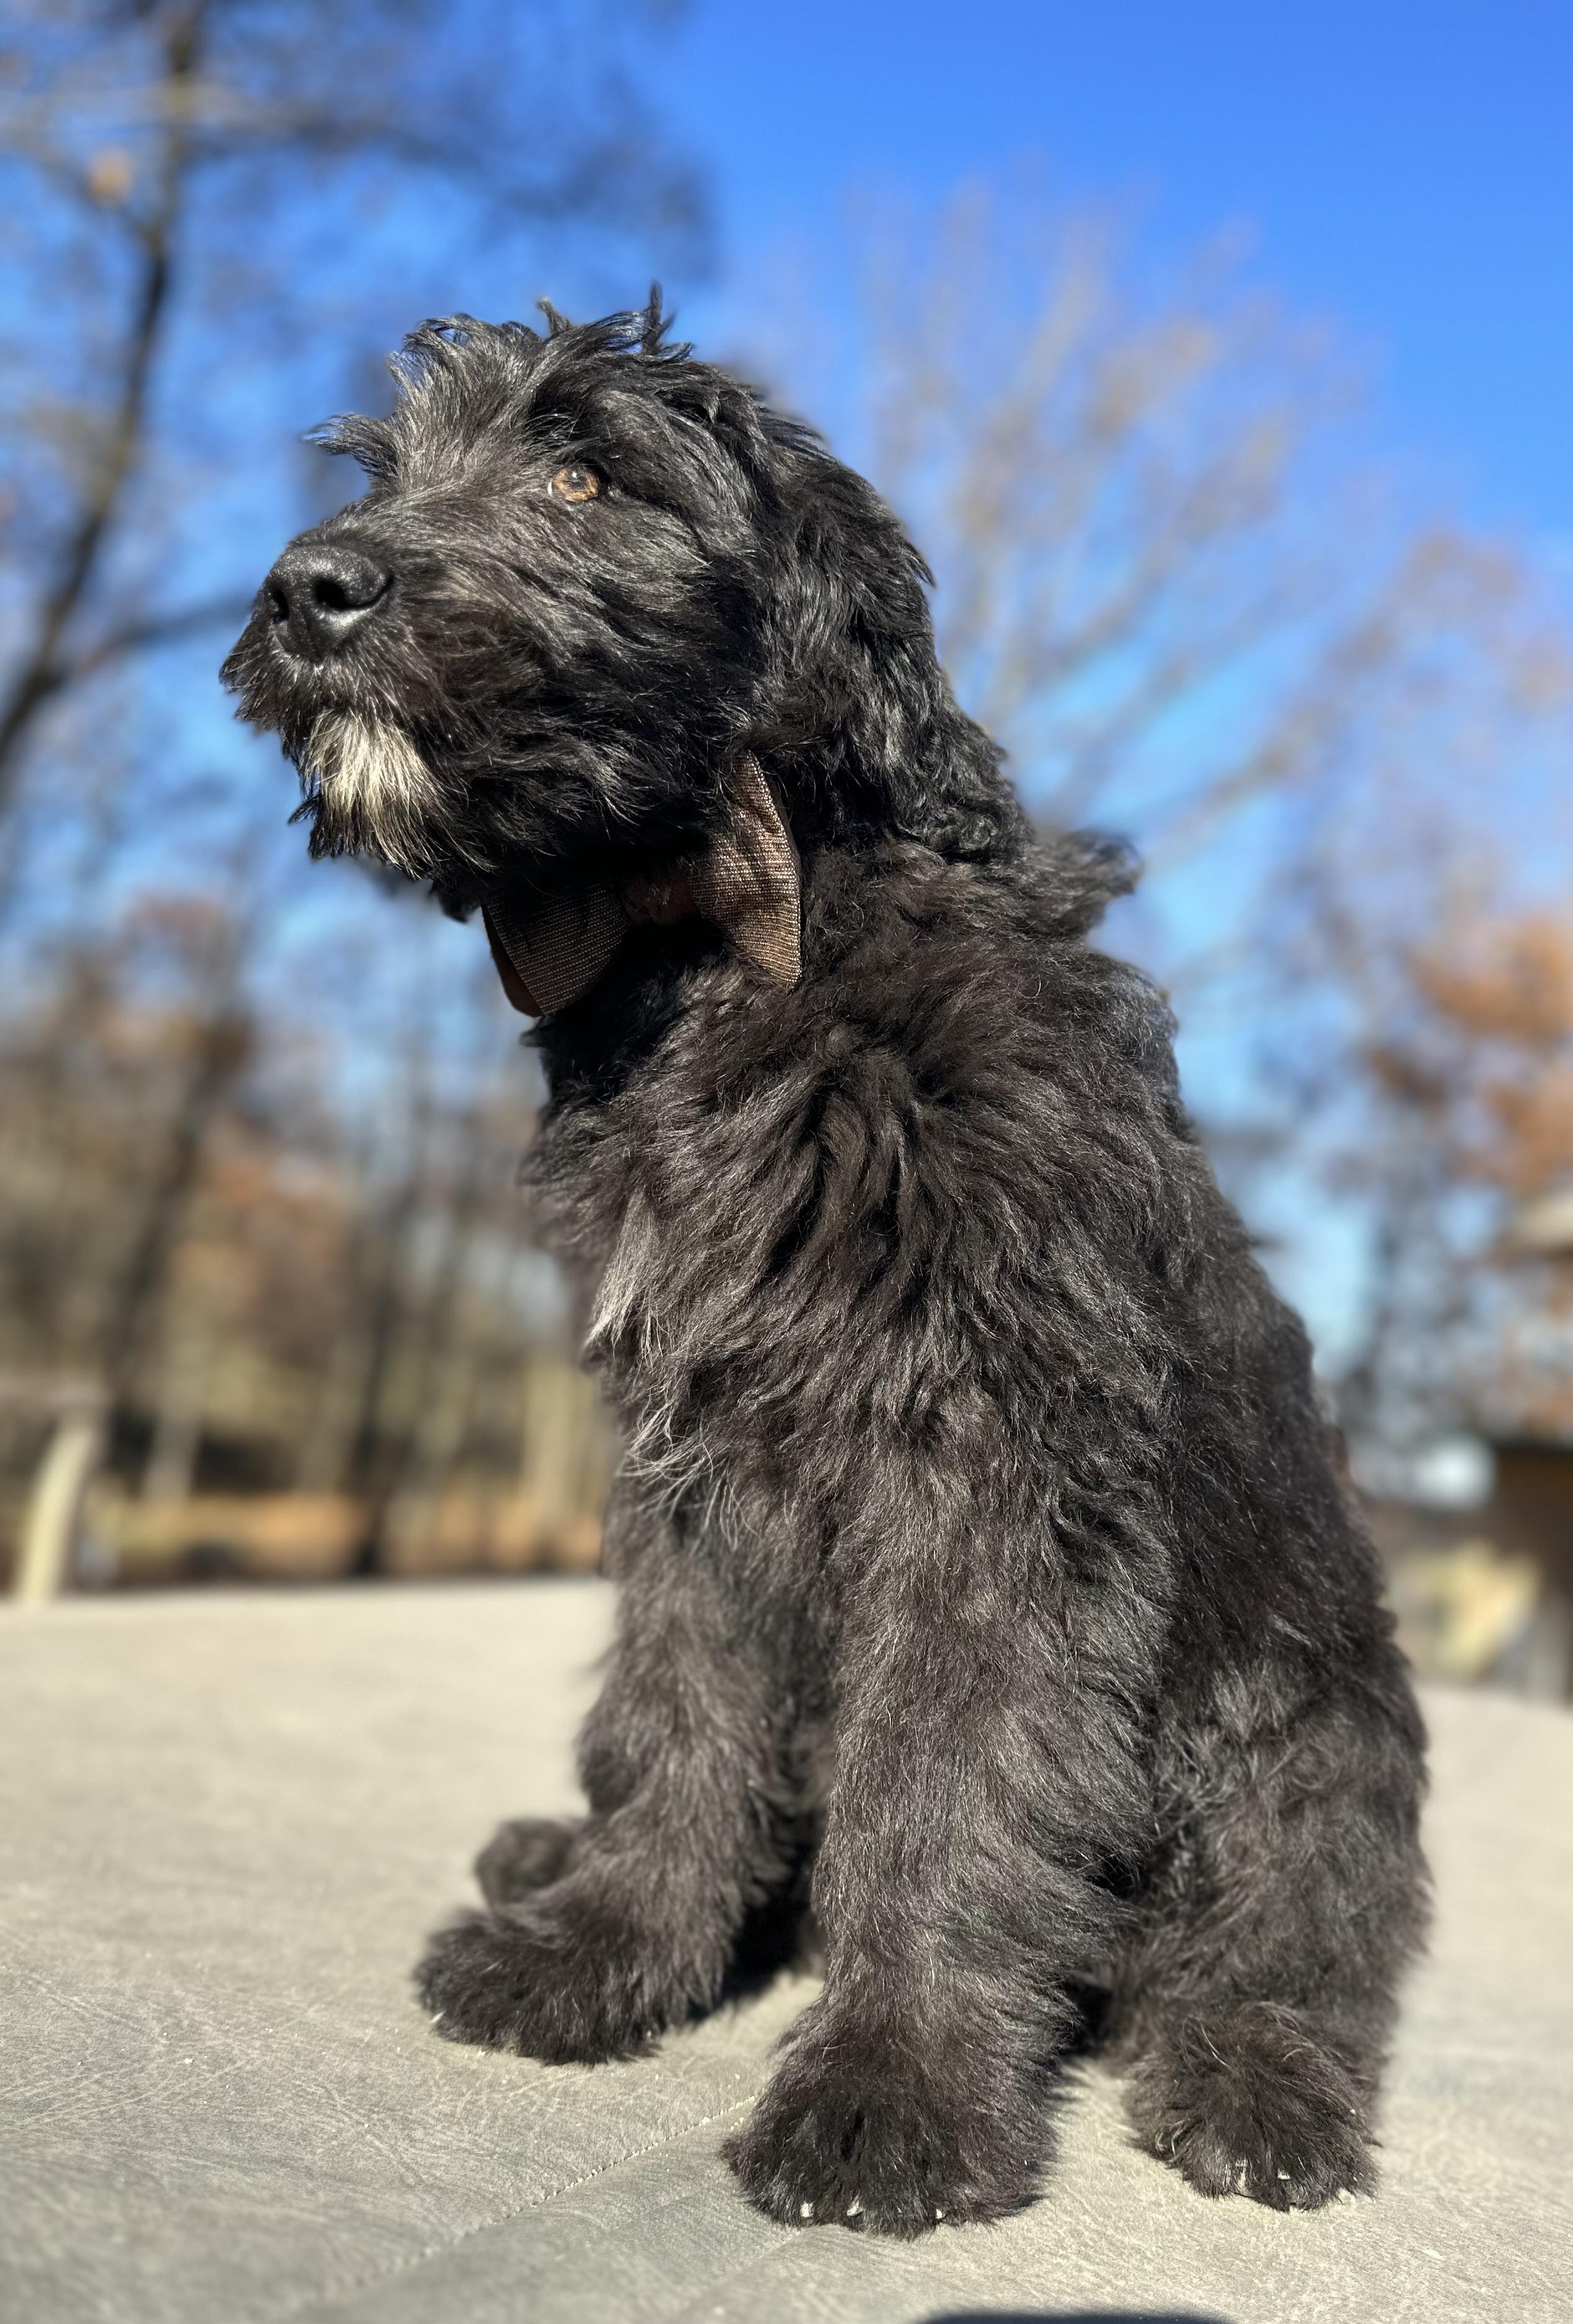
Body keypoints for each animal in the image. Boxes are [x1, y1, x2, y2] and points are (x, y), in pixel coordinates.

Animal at [224, 293, 1428, 2237]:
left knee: (1283, 1945)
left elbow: (936, 1783)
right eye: (394, 466)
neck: (731, 963)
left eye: (583, 473)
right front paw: (600, 1949)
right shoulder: (688, 1461)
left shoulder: (988, 1470)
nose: (302, 586)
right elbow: (680, 1714)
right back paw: (553, 1849)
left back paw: (1258, 2081)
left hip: (1301, 1735)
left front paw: (891, 2093)